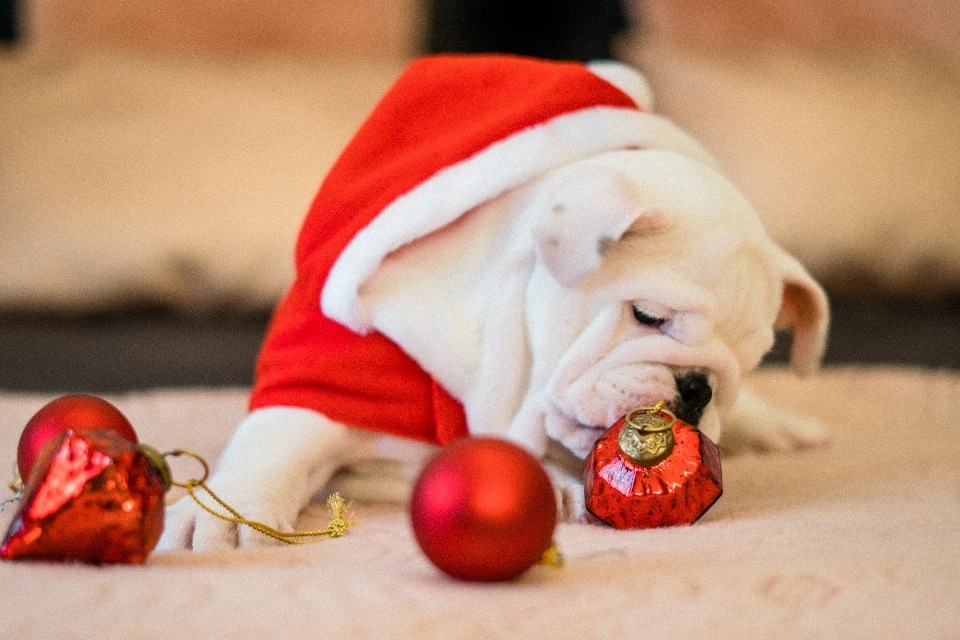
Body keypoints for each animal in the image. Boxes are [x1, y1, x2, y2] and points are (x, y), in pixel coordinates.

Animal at [159, 56, 832, 556]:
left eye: (750, 361)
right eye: (647, 316)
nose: (698, 386)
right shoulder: (330, 376)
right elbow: (275, 439)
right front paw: (228, 511)